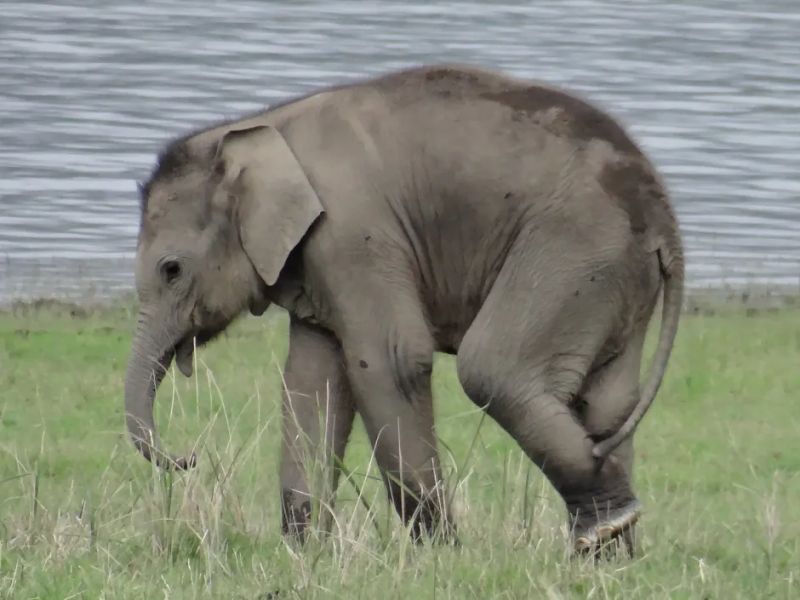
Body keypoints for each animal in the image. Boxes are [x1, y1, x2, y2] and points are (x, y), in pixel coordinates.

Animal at [124, 64, 683, 555]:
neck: (258, 127)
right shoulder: (316, 263)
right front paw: (303, 553)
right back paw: (608, 553)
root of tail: (664, 217)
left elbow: (391, 361)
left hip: (575, 248)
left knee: (494, 370)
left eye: (171, 269)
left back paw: (604, 530)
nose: (191, 457)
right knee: (606, 403)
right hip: (614, 276)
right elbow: (311, 382)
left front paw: (441, 554)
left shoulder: (352, 235)